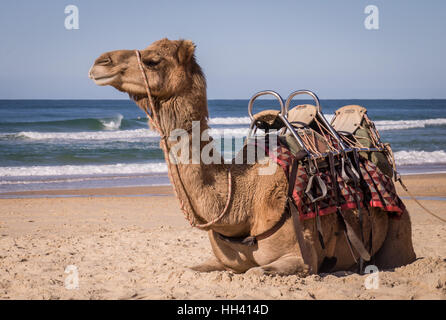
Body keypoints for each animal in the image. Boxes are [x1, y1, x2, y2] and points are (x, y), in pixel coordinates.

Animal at [89, 38, 416, 276]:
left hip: (399, 233)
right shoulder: (221, 261)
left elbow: (257, 272)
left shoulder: (301, 259)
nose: (99, 62)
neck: (242, 205)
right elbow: (195, 269)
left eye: (152, 60)